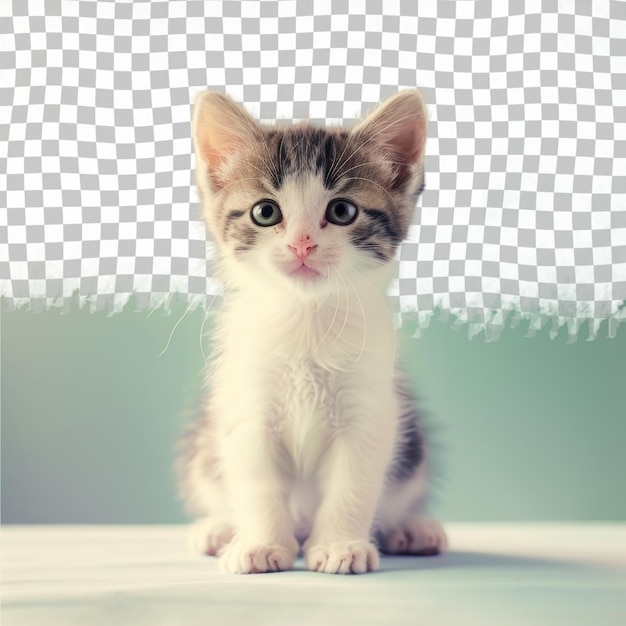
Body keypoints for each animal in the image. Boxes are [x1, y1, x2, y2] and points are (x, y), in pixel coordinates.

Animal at [178, 89, 446, 576]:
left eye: (342, 210)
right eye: (265, 212)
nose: (302, 244)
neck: (306, 318)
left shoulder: (370, 410)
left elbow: (353, 483)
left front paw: (341, 546)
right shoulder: (246, 407)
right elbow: (257, 482)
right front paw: (260, 545)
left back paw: (409, 529)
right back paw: (219, 530)